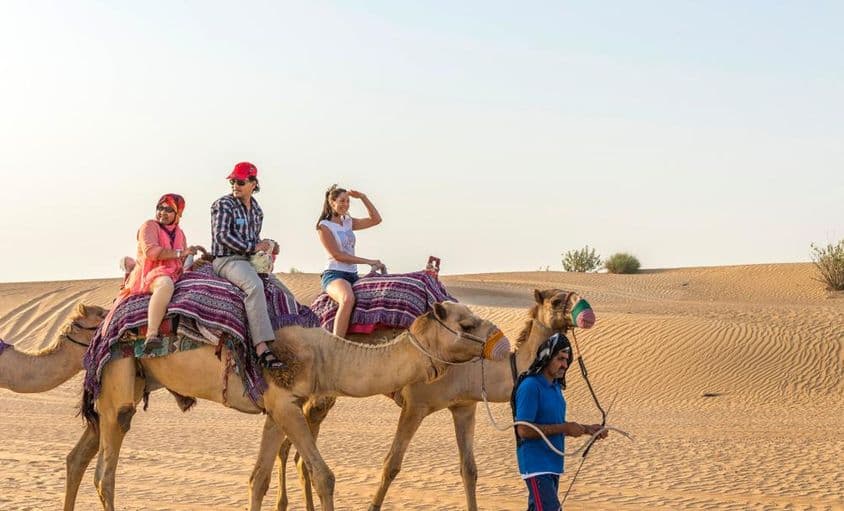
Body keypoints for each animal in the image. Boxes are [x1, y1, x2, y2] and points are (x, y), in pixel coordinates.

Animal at [85, 301, 509, 511]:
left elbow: (258, 479)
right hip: (117, 384)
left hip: (135, 381)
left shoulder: (277, 411)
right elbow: (324, 476)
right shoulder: (286, 404)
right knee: (105, 473)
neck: (327, 356)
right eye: (467, 324)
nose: (502, 342)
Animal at [255, 289, 595, 511]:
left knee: (291, 452)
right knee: (298, 454)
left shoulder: (465, 406)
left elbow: (469, 470)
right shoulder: (415, 404)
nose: (588, 313)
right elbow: (391, 465)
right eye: (556, 300)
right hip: (319, 396)